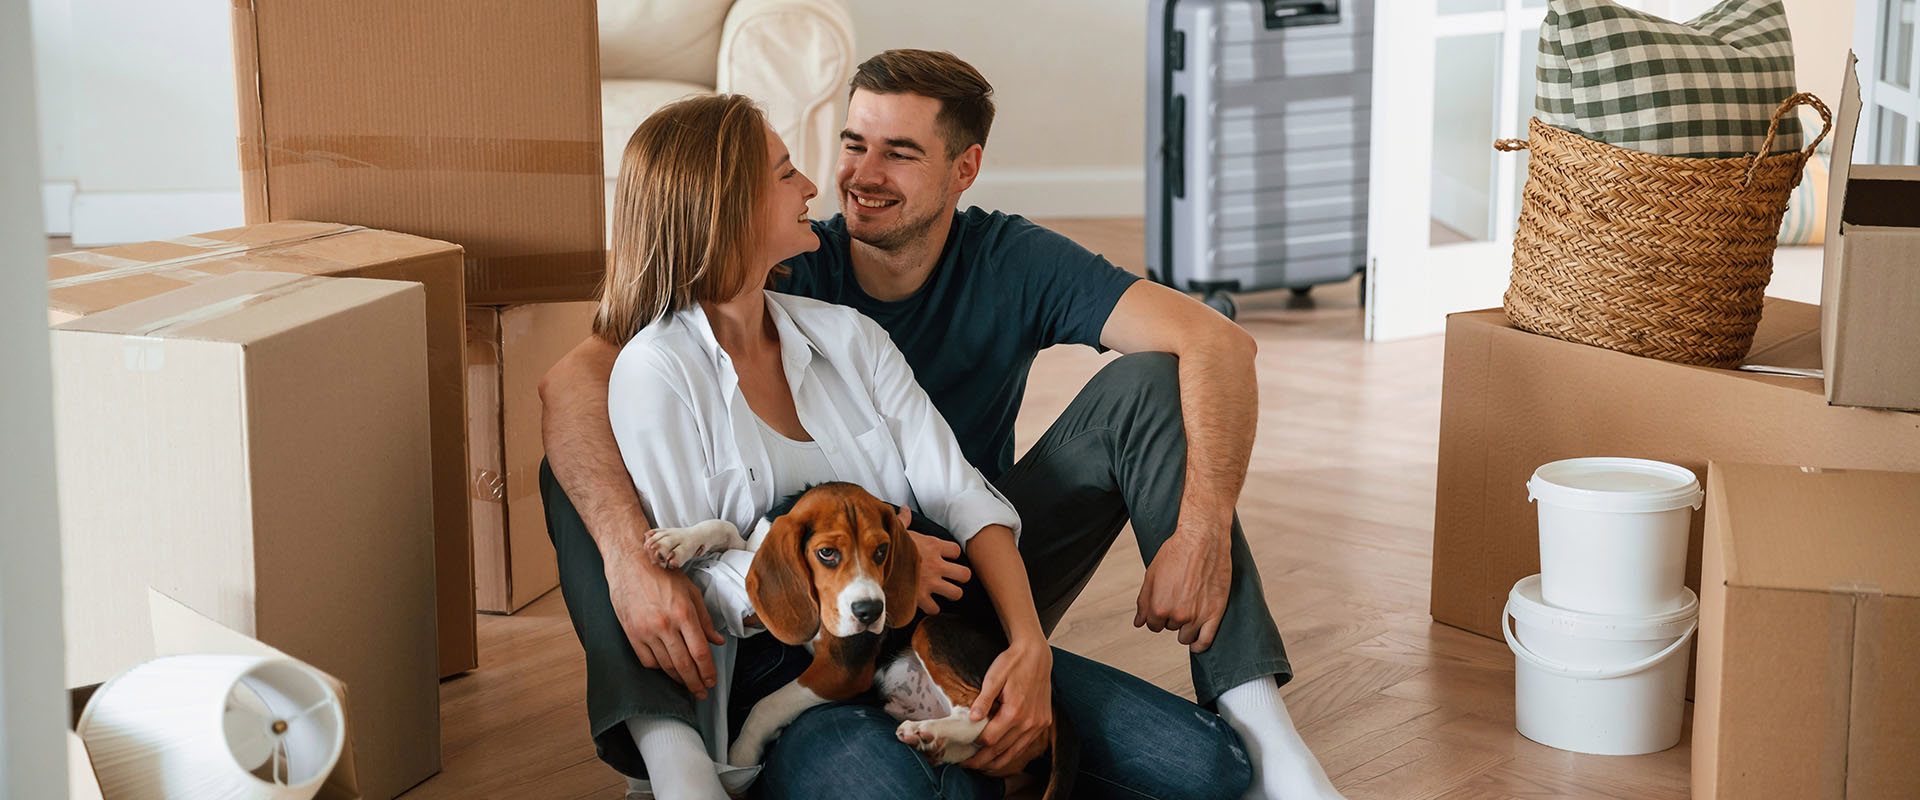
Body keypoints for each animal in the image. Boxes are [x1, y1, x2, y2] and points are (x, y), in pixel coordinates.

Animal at [648, 477, 1075, 794]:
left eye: (883, 551)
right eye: (826, 554)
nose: (870, 613)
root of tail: (1052, 693)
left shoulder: (841, 670)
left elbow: (766, 706)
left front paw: (740, 757)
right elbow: (725, 529)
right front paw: (678, 540)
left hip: (935, 628)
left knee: (979, 713)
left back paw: (926, 732)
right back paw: (931, 742)